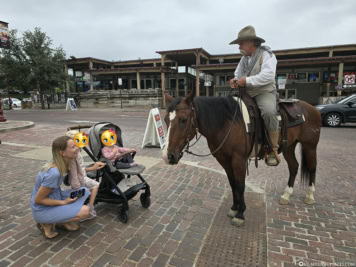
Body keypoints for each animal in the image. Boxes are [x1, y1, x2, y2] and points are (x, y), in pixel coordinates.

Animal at [163, 91, 322, 227]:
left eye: (183, 120)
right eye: (165, 120)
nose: (168, 156)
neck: (227, 123)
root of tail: (312, 108)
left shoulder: (239, 159)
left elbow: (240, 185)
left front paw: (240, 214)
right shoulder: (224, 159)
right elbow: (232, 183)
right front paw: (234, 207)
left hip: (310, 146)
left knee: (312, 167)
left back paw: (310, 195)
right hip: (289, 146)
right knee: (293, 167)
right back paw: (286, 195)